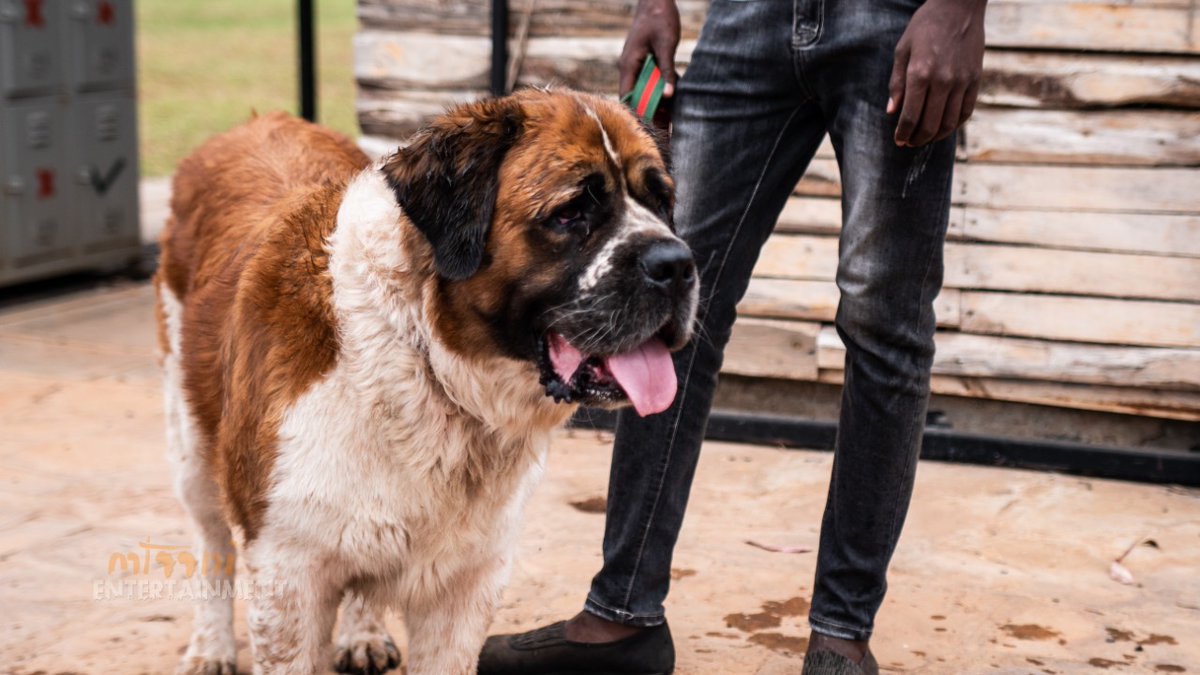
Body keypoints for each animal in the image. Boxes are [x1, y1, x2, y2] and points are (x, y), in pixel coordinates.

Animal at [154, 89, 700, 672]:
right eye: (571, 212)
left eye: (661, 202)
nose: (678, 264)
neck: (424, 363)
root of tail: (258, 122)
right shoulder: (286, 575)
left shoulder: (466, 584)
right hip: (192, 451)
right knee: (212, 544)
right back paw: (210, 647)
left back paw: (361, 634)